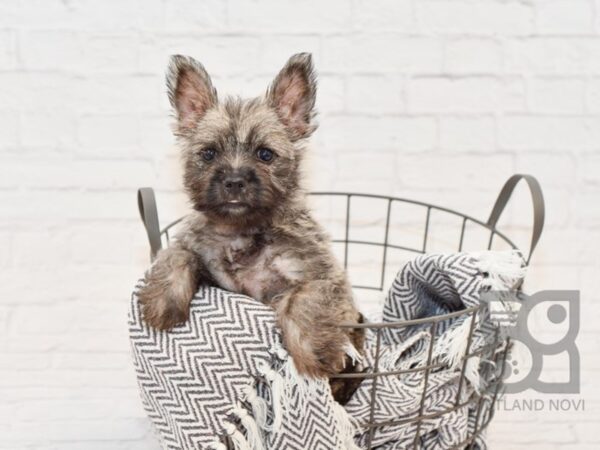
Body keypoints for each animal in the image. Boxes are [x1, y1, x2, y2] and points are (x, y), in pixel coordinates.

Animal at [139, 52, 366, 404]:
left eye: (265, 154)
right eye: (209, 154)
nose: (234, 181)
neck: (240, 230)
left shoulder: (319, 275)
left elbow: (303, 302)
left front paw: (313, 352)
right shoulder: (203, 259)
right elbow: (176, 254)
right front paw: (163, 300)